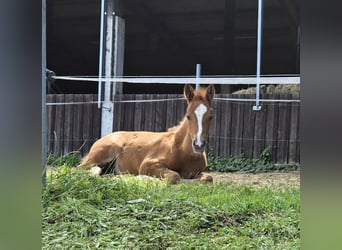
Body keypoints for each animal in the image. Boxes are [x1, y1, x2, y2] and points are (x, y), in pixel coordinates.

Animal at [79, 84, 215, 184]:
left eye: (211, 117)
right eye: (188, 116)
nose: (198, 145)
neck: (180, 150)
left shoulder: (198, 173)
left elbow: (209, 178)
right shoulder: (147, 164)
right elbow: (174, 176)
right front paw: (145, 178)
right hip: (103, 154)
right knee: (79, 169)